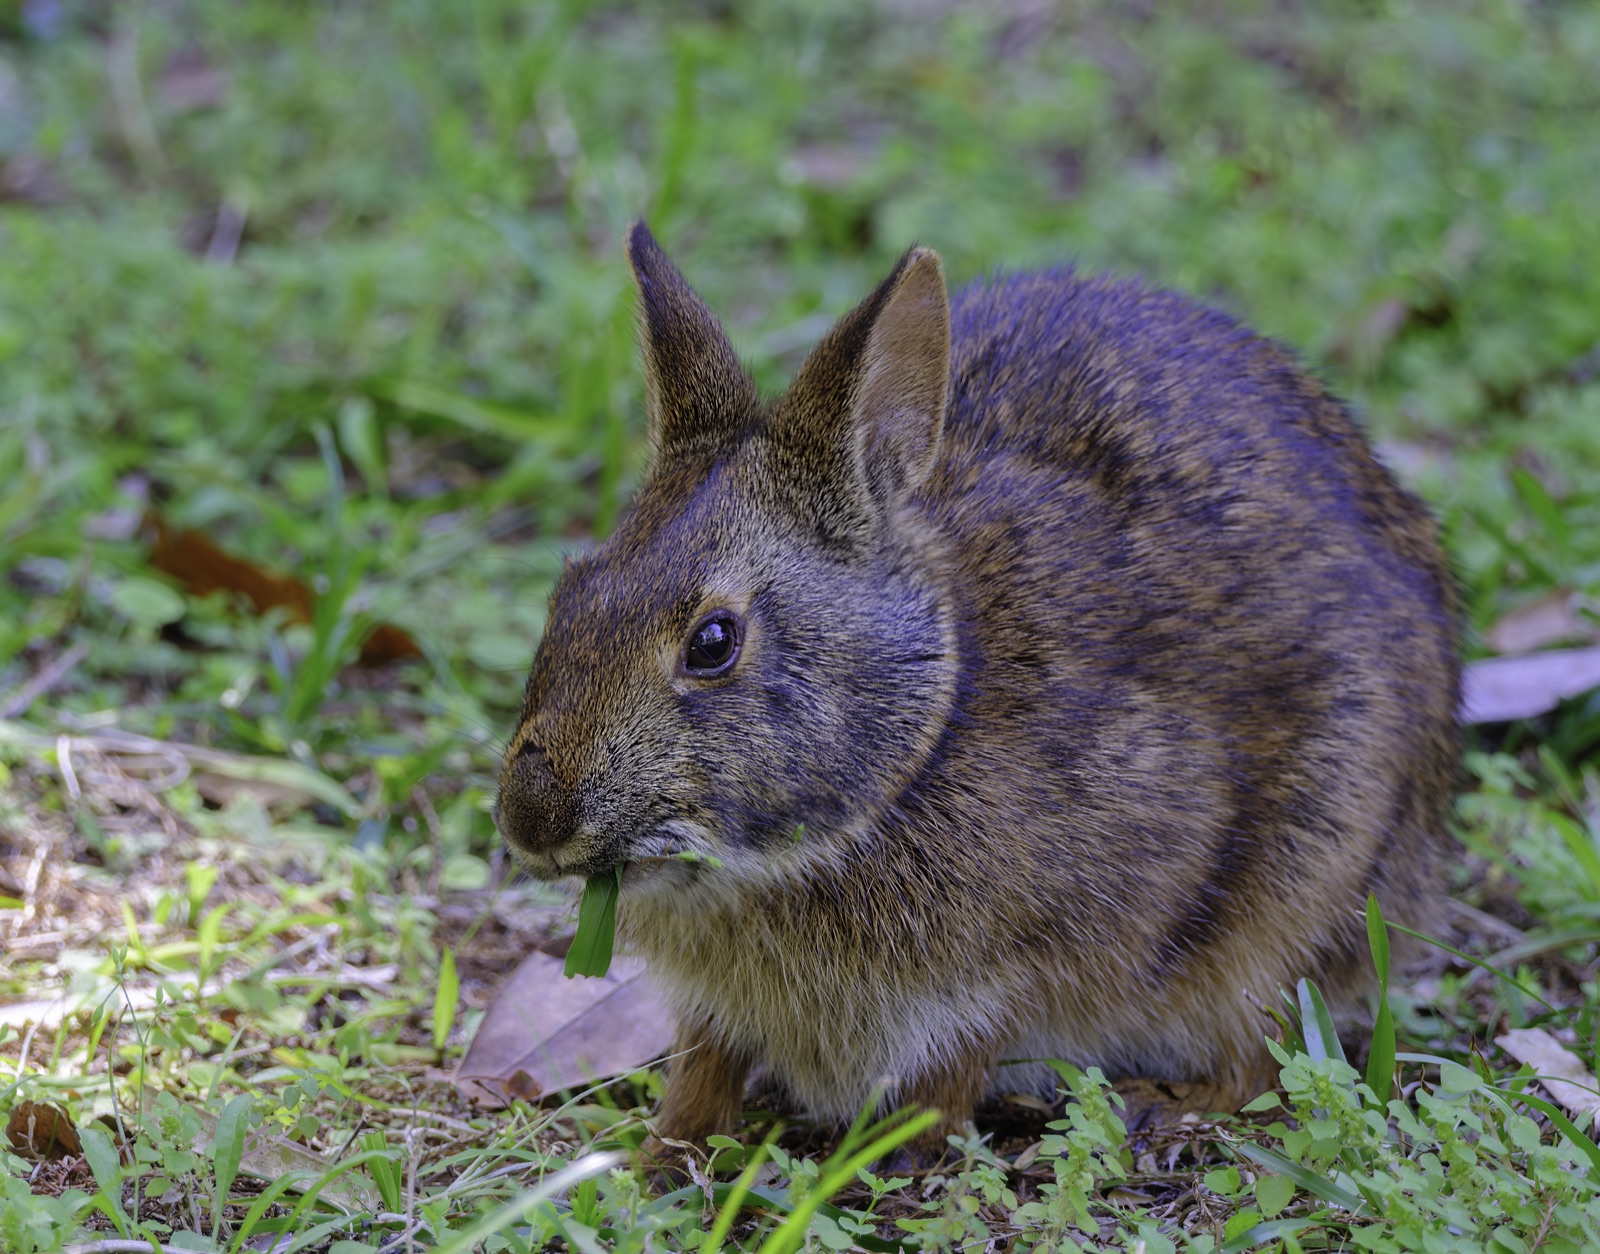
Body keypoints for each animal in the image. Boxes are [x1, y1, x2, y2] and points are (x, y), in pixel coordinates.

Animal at [493, 222, 1460, 1160]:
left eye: (713, 643)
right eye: (569, 591)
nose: (532, 822)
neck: (918, 739)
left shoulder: (1040, 948)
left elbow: (959, 1062)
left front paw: (888, 1162)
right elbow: (703, 1067)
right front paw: (663, 1154)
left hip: (1303, 887)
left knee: (1261, 1058)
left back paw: (1160, 1113)